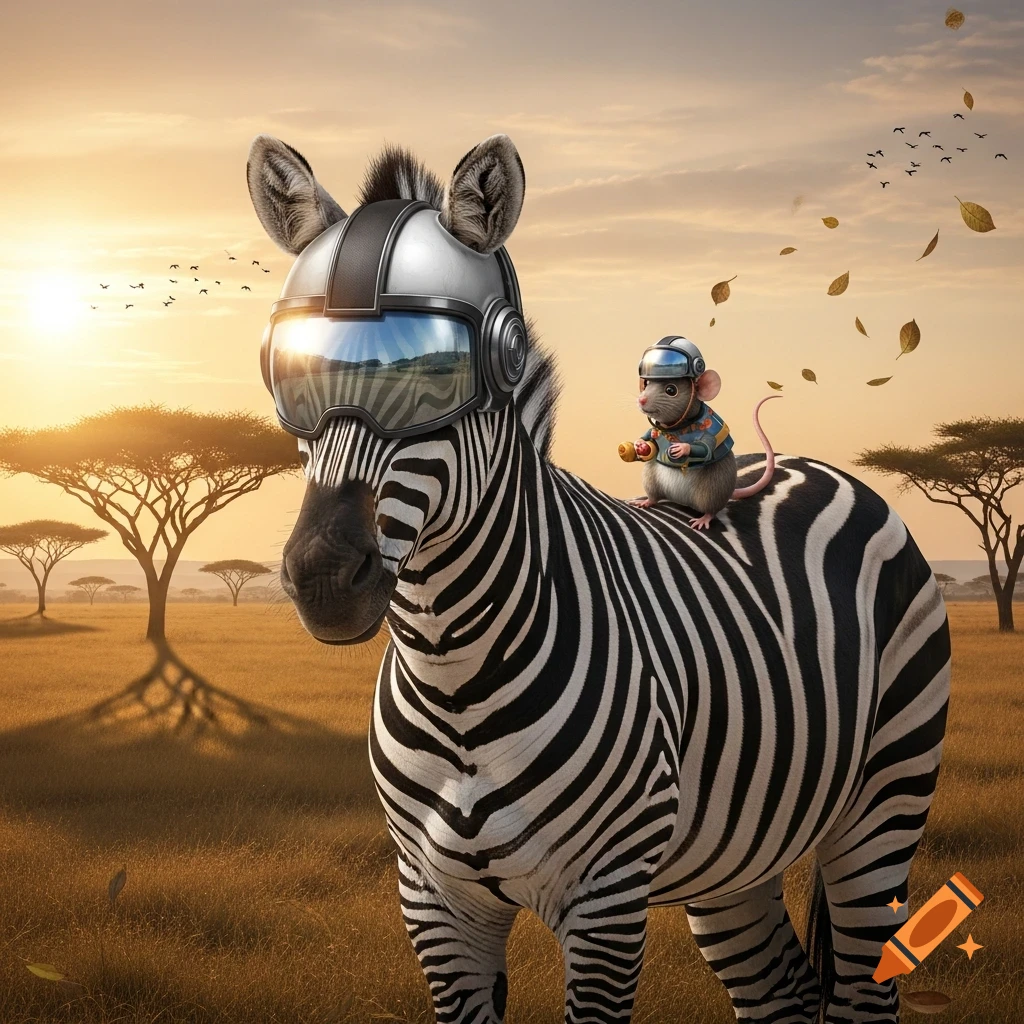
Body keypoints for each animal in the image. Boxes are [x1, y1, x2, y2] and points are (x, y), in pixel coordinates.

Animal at [246, 132, 951, 1023]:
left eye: (435, 376)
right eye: (289, 374)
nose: (324, 577)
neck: (453, 672)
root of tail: (814, 469)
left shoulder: (606, 899)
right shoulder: (434, 901)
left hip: (885, 800)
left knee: (863, 986)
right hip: (735, 853)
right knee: (784, 992)